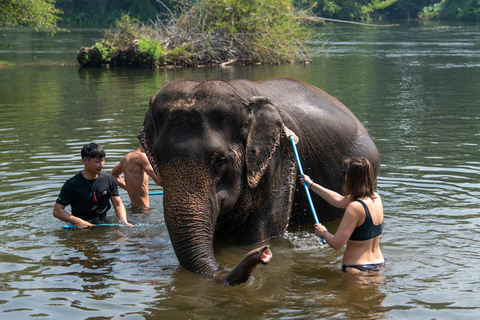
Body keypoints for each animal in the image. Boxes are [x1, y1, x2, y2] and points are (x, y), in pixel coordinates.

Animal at [138, 77, 378, 284]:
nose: (264, 255)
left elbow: (259, 234)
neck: (242, 98)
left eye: (221, 160)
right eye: (156, 157)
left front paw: (260, 246)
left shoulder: (279, 157)